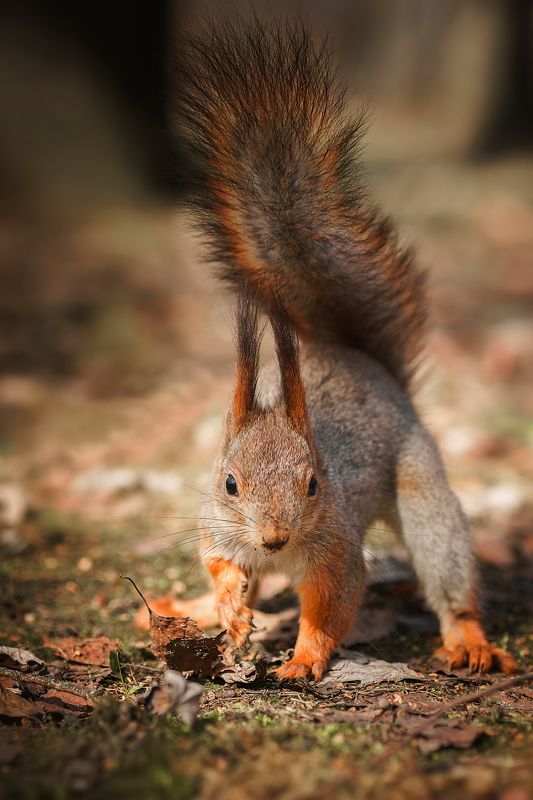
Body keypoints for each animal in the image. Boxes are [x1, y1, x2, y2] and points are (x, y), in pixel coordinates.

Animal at [173, 17, 517, 680]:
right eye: (229, 483)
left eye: (314, 483)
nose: (274, 540)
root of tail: (359, 360)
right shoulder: (216, 527)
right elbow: (221, 564)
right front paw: (227, 607)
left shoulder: (336, 549)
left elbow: (331, 606)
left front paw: (305, 659)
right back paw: (199, 608)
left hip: (423, 491)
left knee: (447, 569)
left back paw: (468, 638)